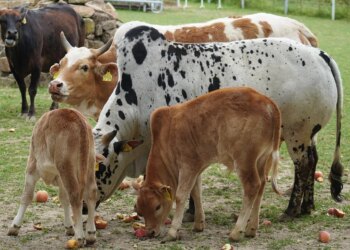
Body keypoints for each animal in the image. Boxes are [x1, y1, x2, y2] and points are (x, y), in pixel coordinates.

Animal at [7, 109, 100, 248]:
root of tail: (75, 116)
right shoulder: (60, 179)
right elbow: (64, 199)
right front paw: (69, 226)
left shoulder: (32, 167)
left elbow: (26, 196)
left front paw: (15, 226)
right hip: (89, 162)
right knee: (91, 193)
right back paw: (90, 234)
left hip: (66, 166)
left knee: (75, 195)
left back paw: (79, 237)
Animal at [134, 88, 282, 242]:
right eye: (139, 211)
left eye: (157, 206)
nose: (150, 232)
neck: (167, 135)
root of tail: (267, 102)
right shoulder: (196, 168)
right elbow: (196, 192)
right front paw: (199, 224)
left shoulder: (187, 166)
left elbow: (181, 196)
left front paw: (173, 232)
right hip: (261, 159)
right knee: (262, 184)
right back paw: (251, 229)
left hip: (244, 161)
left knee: (252, 186)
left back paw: (236, 231)